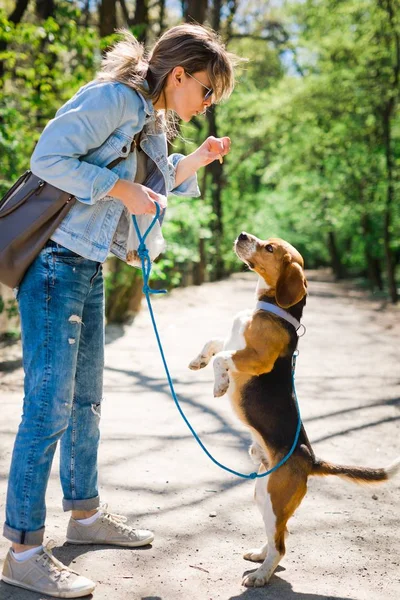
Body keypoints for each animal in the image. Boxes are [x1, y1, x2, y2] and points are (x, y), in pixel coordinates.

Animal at [188, 233, 400, 584]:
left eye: (270, 248)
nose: (242, 235)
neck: (273, 307)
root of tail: (311, 459)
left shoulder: (256, 358)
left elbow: (224, 358)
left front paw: (219, 384)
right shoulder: (231, 341)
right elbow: (214, 344)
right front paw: (198, 360)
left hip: (274, 495)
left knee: (282, 545)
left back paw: (260, 575)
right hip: (263, 493)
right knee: (279, 534)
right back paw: (260, 556)